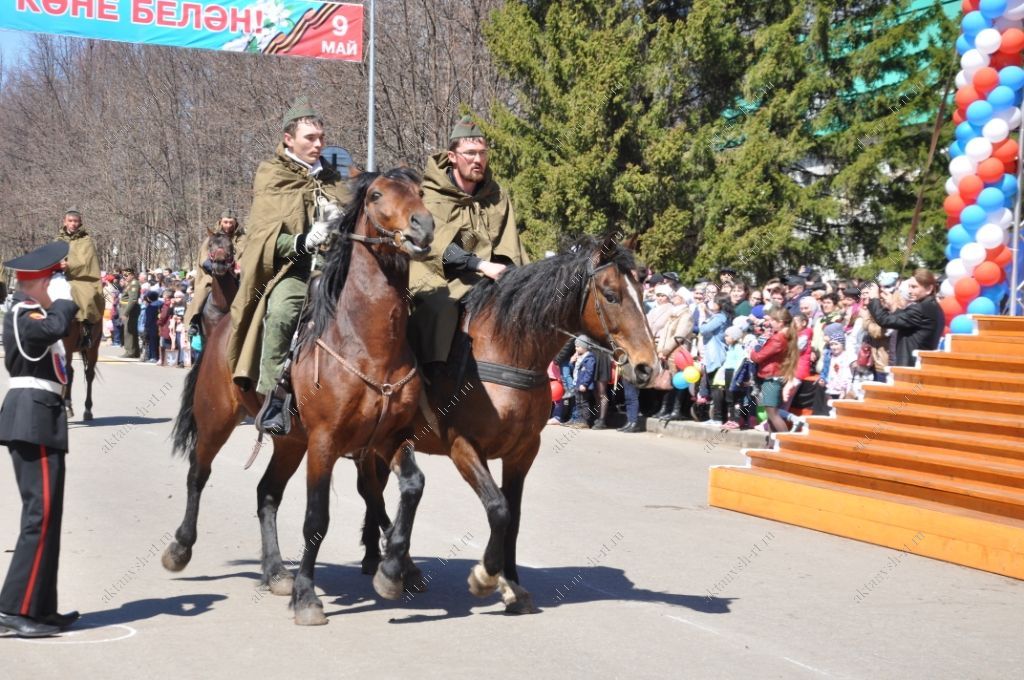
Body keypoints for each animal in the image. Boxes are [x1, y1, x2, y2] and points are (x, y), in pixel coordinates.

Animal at [161, 166, 434, 622]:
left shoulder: (389, 437)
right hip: (216, 419)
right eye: (377, 195)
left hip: (291, 441)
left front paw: (393, 571)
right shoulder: (325, 443)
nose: (424, 226)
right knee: (198, 474)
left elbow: (412, 486)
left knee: (266, 494)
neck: (368, 344)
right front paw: (307, 596)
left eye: (420, 192)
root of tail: (220, 326)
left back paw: (275, 572)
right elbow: (316, 519)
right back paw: (180, 548)